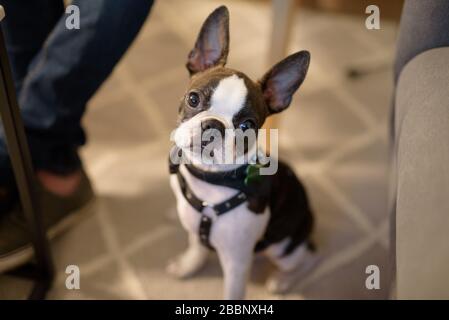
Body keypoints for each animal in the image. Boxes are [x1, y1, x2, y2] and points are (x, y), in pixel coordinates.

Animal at [167, 5, 316, 300]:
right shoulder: (194, 227)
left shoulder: (236, 262)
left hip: (283, 247)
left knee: (307, 258)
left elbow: (232, 292)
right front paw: (189, 266)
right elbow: (197, 248)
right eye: (193, 99)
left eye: (247, 125)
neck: (210, 183)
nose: (213, 126)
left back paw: (282, 281)